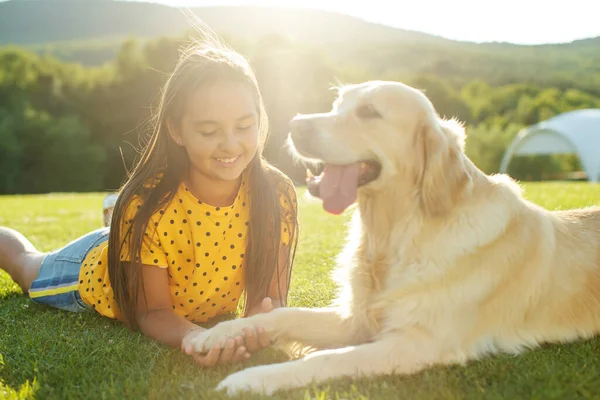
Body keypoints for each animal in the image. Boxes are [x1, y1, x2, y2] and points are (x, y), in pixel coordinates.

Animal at [191, 79, 600, 396]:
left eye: (370, 112)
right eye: (338, 104)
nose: (295, 124)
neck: (394, 235)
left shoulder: (415, 343)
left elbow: (328, 358)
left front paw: (253, 378)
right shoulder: (355, 319)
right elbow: (282, 315)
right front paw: (219, 334)